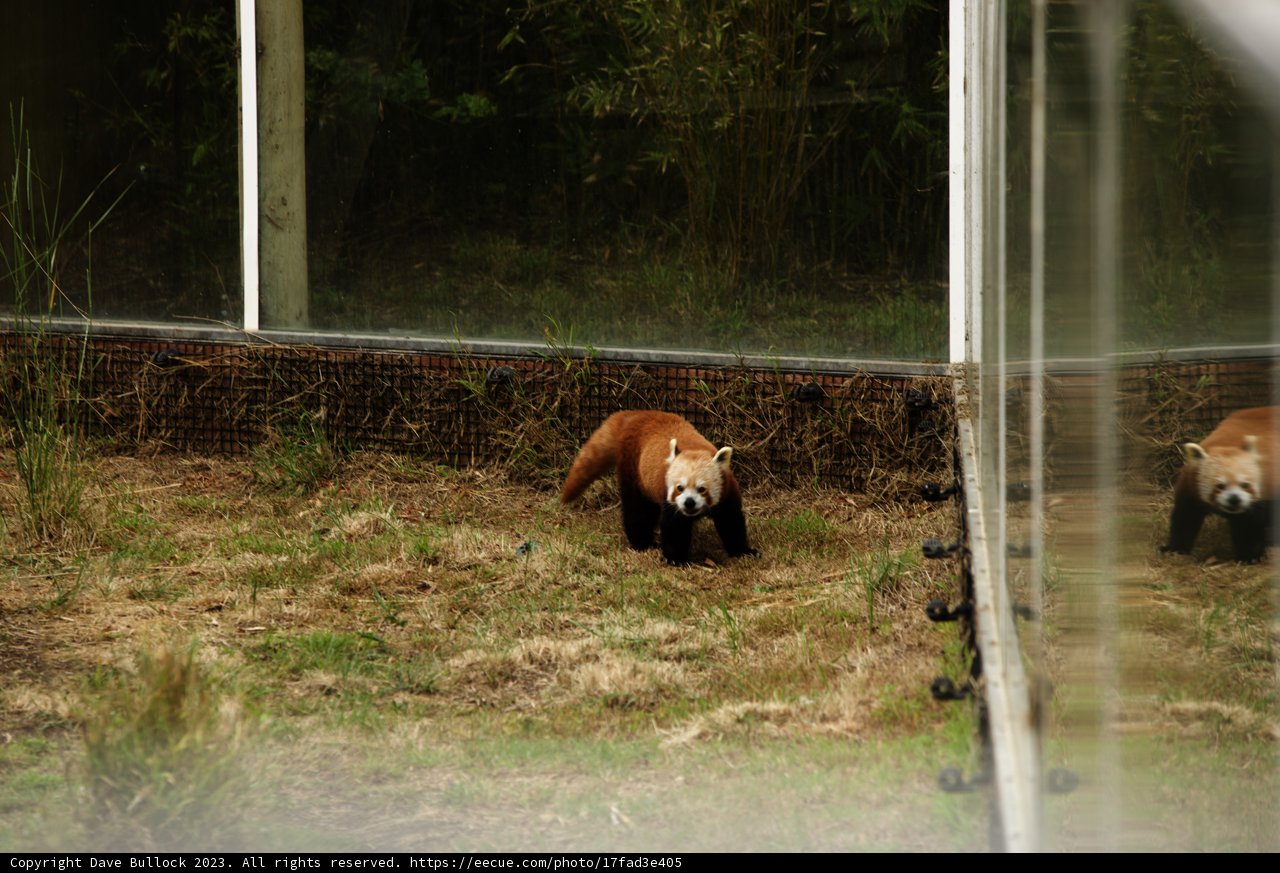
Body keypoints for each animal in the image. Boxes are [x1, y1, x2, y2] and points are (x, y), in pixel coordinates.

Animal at [561, 410, 757, 565]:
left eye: (702, 489)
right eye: (679, 487)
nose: (689, 502)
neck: (694, 448)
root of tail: (637, 414)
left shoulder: (727, 493)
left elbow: (731, 522)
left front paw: (743, 551)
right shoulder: (669, 501)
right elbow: (674, 528)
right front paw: (675, 559)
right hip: (634, 471)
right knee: (637, 511)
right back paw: (642, 543)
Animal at [1161, 406, 1277, 563]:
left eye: (1244, 484)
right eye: (1220, 485)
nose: (1234, 499)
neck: (1226, 443)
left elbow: (1249, 527)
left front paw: (1249, 557)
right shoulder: (1191, 486)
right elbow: (1185, 518)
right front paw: (1174, 548)